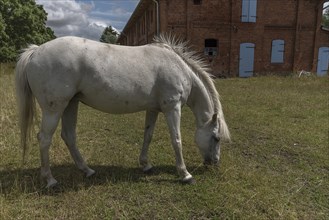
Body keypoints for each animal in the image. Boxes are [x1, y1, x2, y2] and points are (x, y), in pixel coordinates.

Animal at [15, 34, 229, 187]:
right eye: (216, 137)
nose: (215, 162)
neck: (177, 67)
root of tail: (36, 51)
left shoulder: (153, 109)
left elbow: (148, 136)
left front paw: (146, 165)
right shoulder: (172, 108)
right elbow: (177, 140)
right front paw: (185, 174)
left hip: (70, 104)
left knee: (69, 136)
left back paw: (87, 170)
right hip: (55, 109)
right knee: (44, 139)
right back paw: (50, 180)